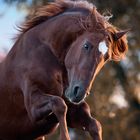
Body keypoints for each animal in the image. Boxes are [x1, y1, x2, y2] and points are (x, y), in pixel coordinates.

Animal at [0, 0, 128, 140]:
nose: (79, 92)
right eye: (86, 45)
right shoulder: (33, 105)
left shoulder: (73, 111)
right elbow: (59, 104)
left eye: (107, 57)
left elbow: (94, 124)